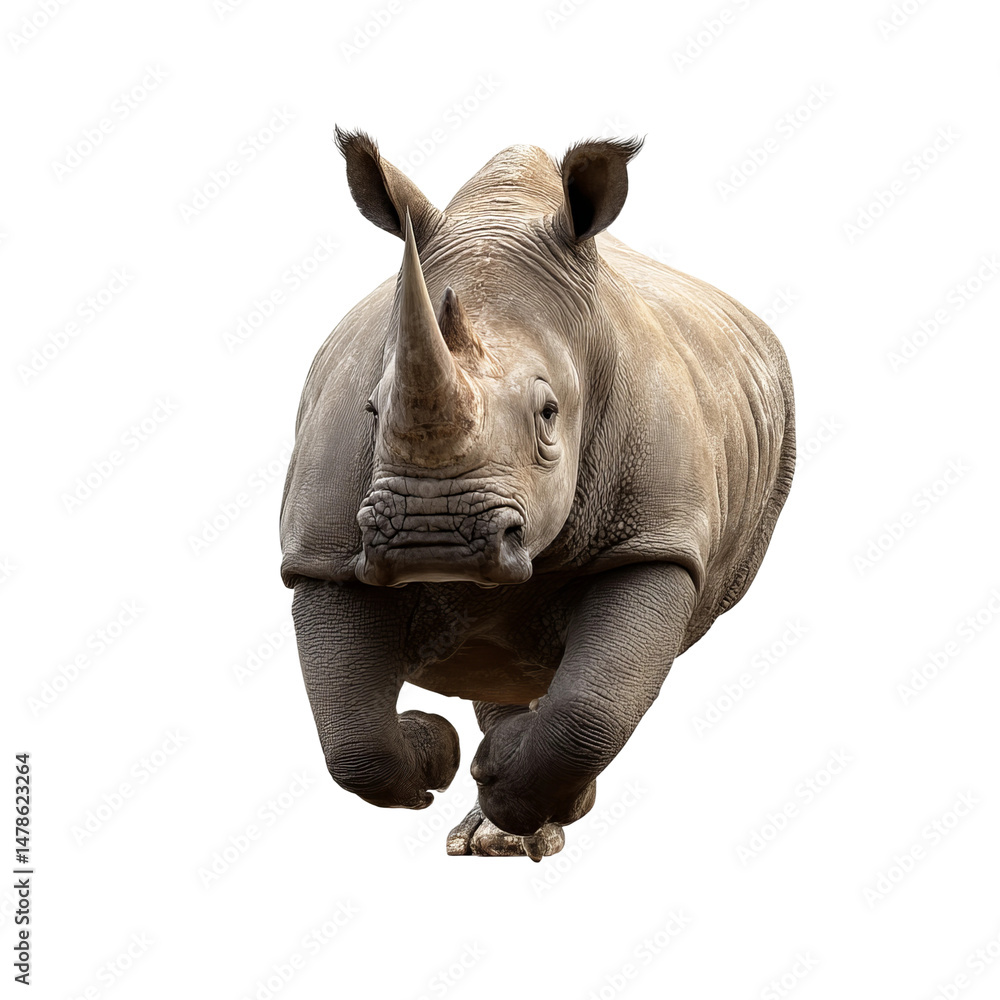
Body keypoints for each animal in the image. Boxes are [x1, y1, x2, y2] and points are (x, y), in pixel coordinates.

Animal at [280, 128, 795, 859]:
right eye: (372, 410)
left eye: (550, 414)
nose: (431, 538)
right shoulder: (323, 551)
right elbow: (353, 740)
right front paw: (435, 751)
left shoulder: (656, 537)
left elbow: (591, 708)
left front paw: (508, 775)